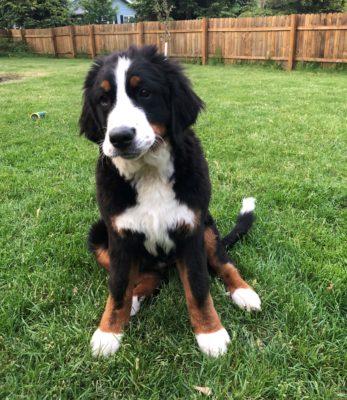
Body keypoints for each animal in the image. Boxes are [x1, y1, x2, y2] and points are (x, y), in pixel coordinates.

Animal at [79, 45, 260, 358]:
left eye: (144, 93)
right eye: (104, 100)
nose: (120, 137)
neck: (149, 172)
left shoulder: (191, 230)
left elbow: (199, 286)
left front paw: (210, 333)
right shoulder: (119, 236)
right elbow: (117, 287)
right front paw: (109, 332)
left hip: (207, 227)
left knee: (224, 263)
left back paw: (244, 292)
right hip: (99, 234)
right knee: (148, 278)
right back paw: (135, 298)